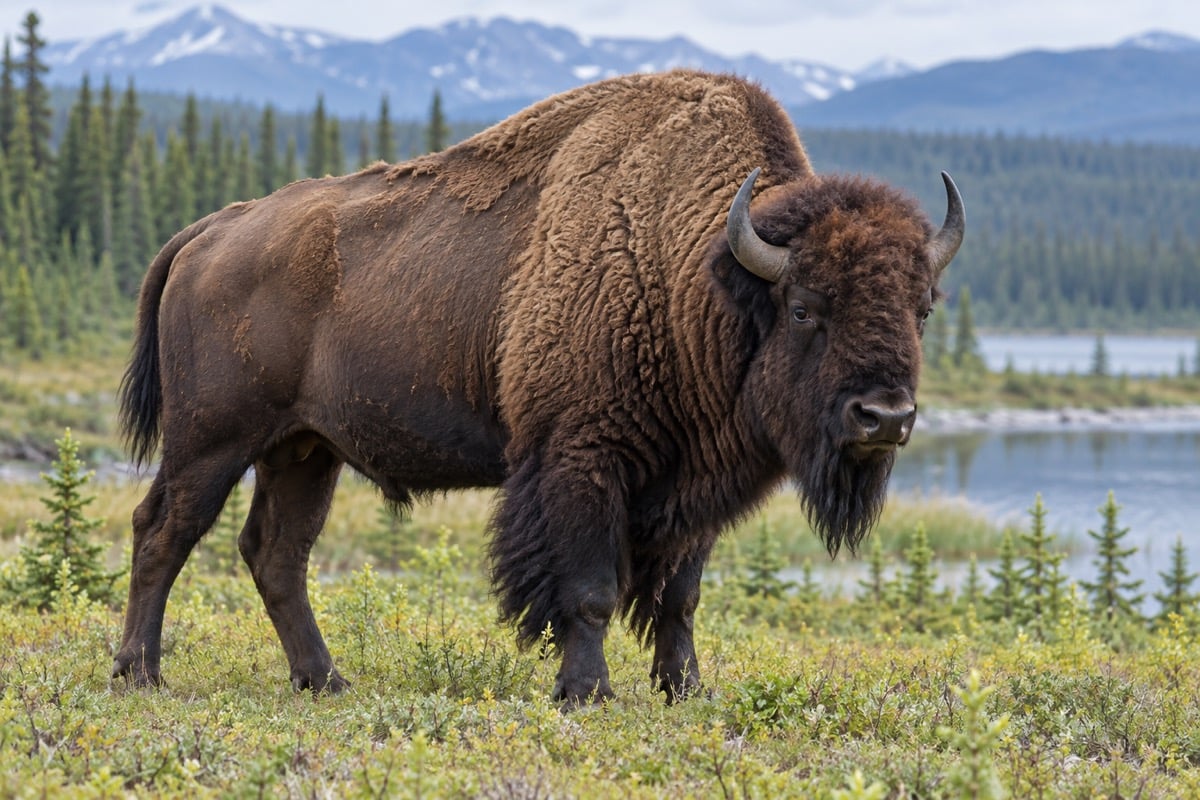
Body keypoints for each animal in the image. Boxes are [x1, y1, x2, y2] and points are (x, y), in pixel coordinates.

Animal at [114, 69, 963, 704]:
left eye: (923, 307)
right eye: (805, 307)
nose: (884, 417)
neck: (695, 273)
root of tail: (213, 230)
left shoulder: (693, 485)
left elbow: (679, 596)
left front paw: (684, 689)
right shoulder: (580, 460)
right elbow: (589, 590)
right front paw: (586, 692)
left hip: (303, 450)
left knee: (276, 554)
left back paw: (324, 680)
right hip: (212, 441)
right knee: (163, 532)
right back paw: (140, 675)